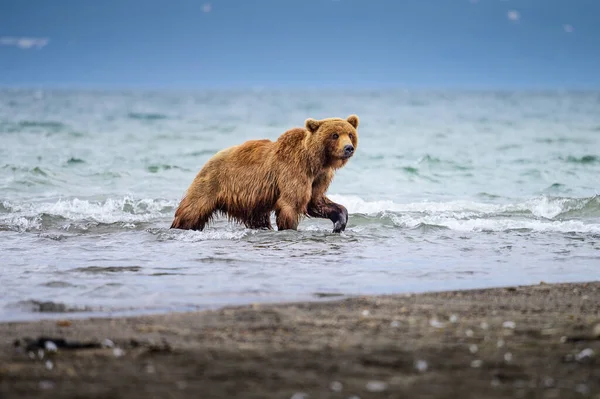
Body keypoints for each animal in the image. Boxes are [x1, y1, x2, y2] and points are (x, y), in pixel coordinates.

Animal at [169, 115, 358, 234]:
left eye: (350, 134)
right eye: (334, 135)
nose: (348, 148)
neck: (315, 161)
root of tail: (211, 157)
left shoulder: (319, 178)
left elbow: (316, 202)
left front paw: (339, 223)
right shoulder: (293, 171)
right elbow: (292, 203)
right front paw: (290, 228)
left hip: (252, 203)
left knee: (258, 219)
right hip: (212, 182)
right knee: (192, 210)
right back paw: (179, 226)